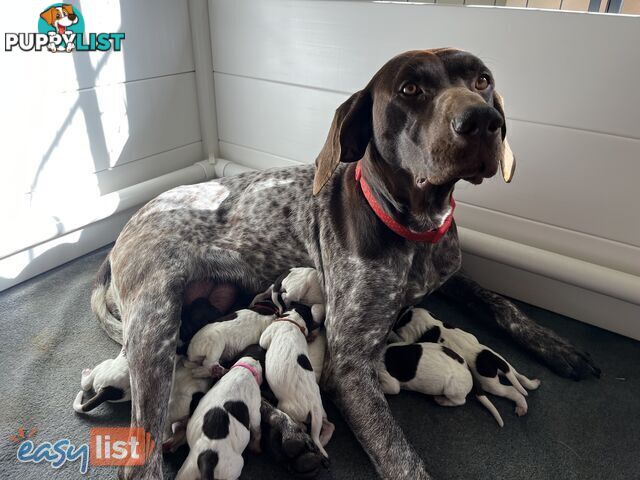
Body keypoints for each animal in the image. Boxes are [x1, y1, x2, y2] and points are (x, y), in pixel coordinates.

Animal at [175, 352, 262, 480]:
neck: (243, 369)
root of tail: (207, 458)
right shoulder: (255, 413)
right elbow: (257, 431)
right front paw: (256, 447)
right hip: (233, 468)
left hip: (187, 471)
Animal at [258, 308, 330, 458]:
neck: (293, 322)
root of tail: (313, 406)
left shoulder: (266, 336)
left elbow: (262, 341)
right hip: (321, 412)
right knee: (328, 425)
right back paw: (323, 437)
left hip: (287, 408)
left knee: (300, 424)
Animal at [396, 308, 540, 416]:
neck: (430, 322)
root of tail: (493, 359)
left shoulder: (409, 336)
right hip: (505, 365)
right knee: (519, 376)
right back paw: (532, 384)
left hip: (490, 384)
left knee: (511, 391)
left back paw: (521, 405)